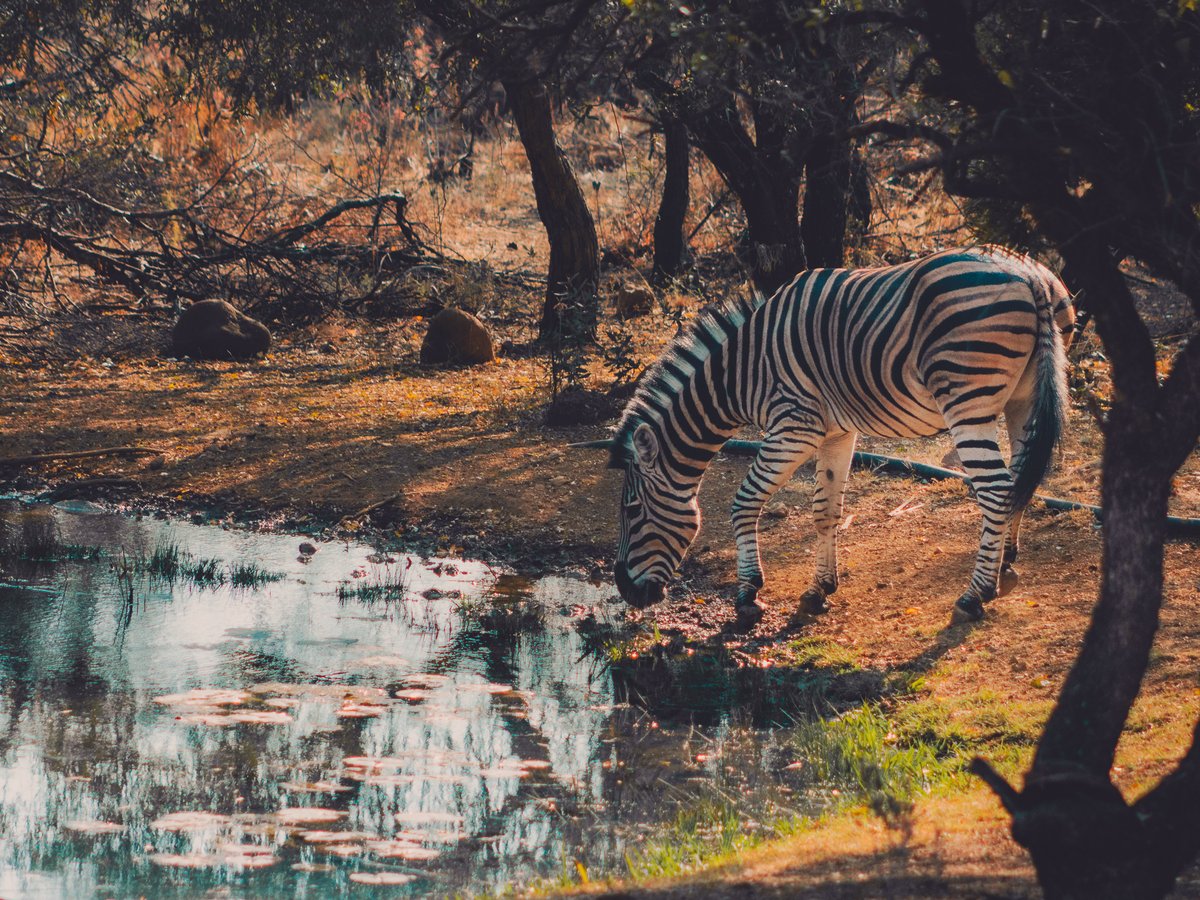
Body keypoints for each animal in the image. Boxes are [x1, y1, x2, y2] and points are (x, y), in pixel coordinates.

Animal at [581, 247, 1073, 627]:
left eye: (632, 510)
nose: (625, 591)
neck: (740, 374)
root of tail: (1029, 276)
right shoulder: (837, 431)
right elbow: (825, 511)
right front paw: (820, 588)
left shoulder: (794, 426)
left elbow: (744, 502)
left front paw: (748, 594)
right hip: (1020, 400)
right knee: (1019, 478)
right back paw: (1004, 563)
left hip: (967, 400)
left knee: (996, 489)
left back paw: (975, 594)